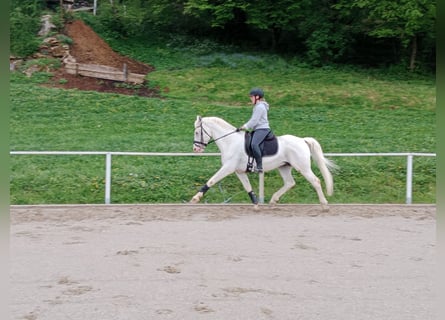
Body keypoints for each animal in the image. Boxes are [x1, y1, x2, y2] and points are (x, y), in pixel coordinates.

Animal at [189, 116, 334, 211]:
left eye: (196, 132)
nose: (196, 149)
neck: (230, 142)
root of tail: (302, 140)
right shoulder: (239, 171)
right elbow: (247, 187)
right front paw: (256, 203)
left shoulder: (228, 168)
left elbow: (212, 180)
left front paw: (195, 198)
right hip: (284, 167)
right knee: (290, 183)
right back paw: (273, 200)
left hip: (302, 167)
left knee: (315, 181)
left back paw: (324, 205)